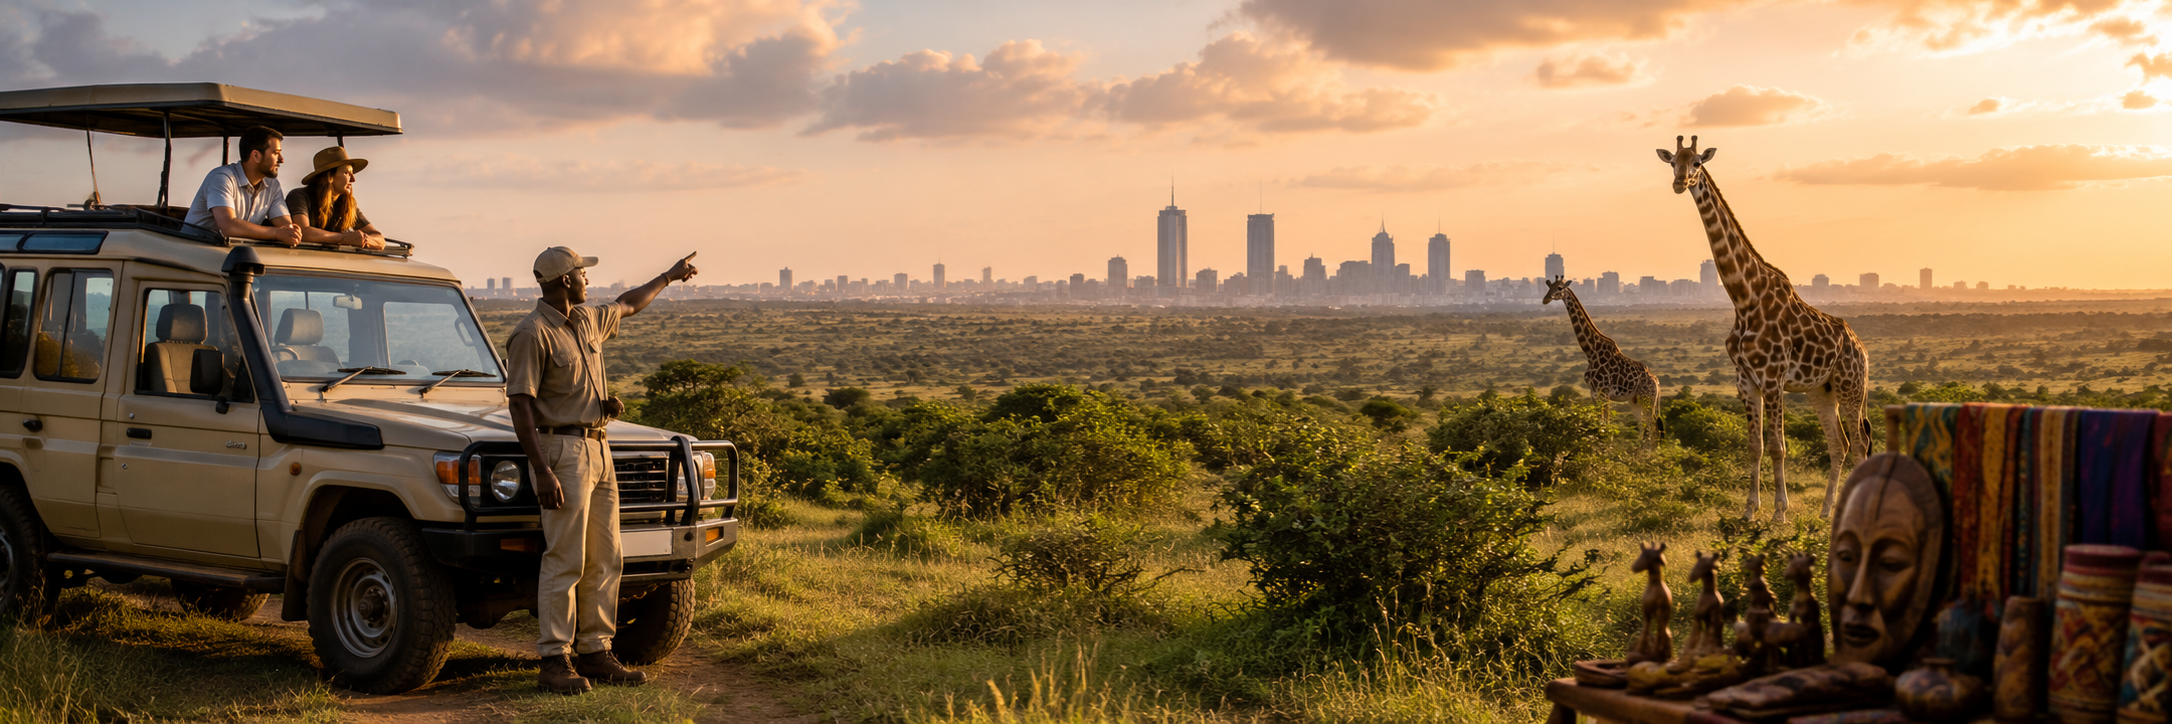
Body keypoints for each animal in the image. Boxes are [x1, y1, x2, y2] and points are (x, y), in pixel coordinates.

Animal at [1540, 276, 1660, 444]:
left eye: (1560, 288)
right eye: (1549, 287)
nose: (1545, 299)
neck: (1591, 351)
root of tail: (1657, 382)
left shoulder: (1604, 392)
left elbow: (1607, 425)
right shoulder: (1594, 393)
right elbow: (1600, 425)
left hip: (1648, 399)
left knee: (1652, 427)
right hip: (1635, 401)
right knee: (1643, 425)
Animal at [1657, 135, 1872, 521]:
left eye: (1697, 162)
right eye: (1672, 162)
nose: (1680, 183)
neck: (1744, 298)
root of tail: (1862, 348)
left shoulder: (1773, 378)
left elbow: (1777, 446)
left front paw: (1779, 512)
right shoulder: (1745, 380)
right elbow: (1754, 446)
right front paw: (1748, 510)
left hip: (1852, 385)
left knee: (1860, 443)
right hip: (1822, 391)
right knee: (1840, 443)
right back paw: (1825, 511)